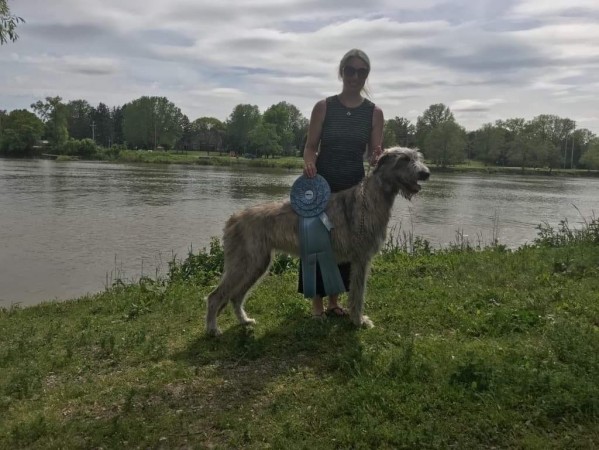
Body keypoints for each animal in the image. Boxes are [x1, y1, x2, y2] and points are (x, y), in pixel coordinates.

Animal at [206, 146, 432, 336]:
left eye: (417, 157)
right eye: (404, 159)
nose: (426, 173)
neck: (370, 199)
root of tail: (233, 218)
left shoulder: (358, 259)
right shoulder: (361, 259)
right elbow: (358, 294)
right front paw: (358, 321)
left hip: (257, 264)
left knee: (236, 296)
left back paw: (244, 321)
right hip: (245, 262)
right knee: (215, 296)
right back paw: (212, 330)